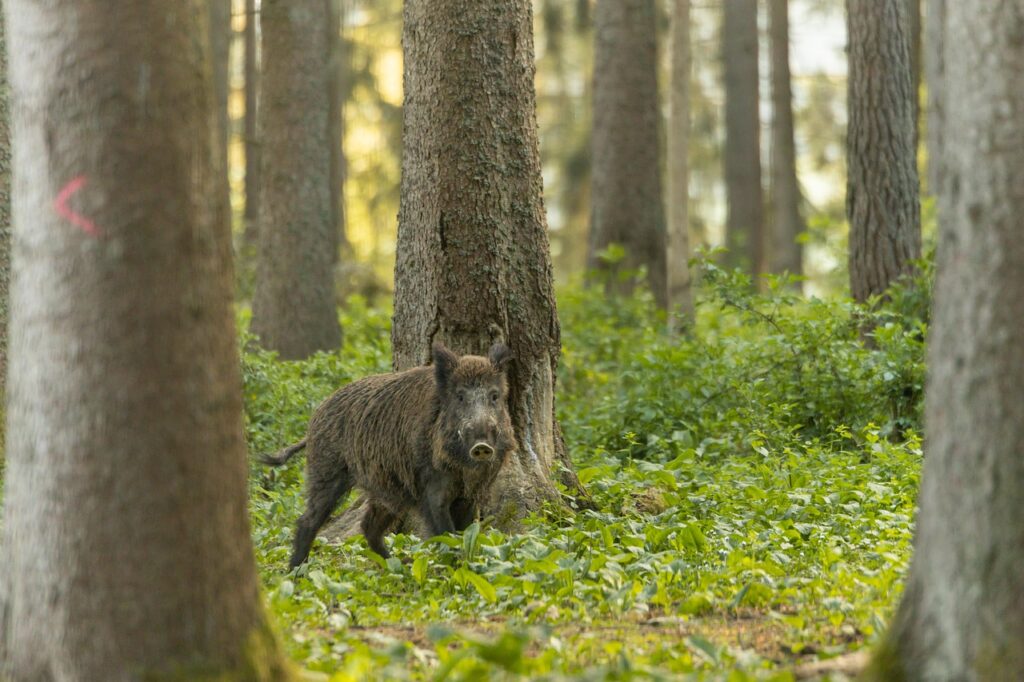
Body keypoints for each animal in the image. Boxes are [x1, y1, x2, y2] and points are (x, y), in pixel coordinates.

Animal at [262, 343, 516, 567]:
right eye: (460, 396)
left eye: (494, 396)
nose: (482, 445)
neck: (464, 469)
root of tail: (313, 421)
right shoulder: (432, 488)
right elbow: (445, 532)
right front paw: (453, 565)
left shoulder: (470, 495)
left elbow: (464, 532)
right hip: (326, 471)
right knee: (308, 521)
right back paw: (296, 572)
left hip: (386, 489)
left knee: (369, 526)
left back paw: (396, 565)